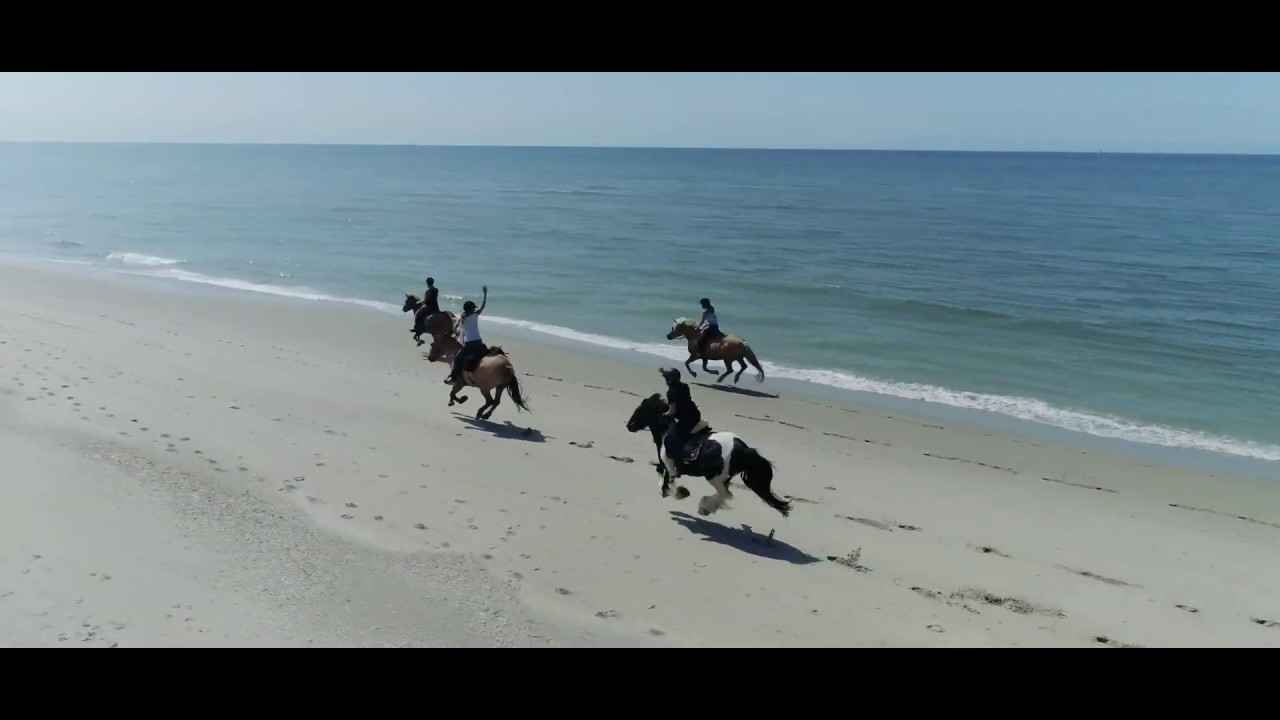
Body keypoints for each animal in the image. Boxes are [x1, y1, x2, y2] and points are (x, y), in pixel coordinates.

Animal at [625, 393, 791, 517]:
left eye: (640, 411)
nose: (629, 426)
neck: (666, 431)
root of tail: (744, 449)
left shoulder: (667, 461)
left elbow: (666, 474)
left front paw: (677, 492)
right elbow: (661, 472)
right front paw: (667, 490)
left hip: (714, 477)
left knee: (726, 494)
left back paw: (704, 507)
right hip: (722, 478)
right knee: (725, 493)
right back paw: (706, 508)